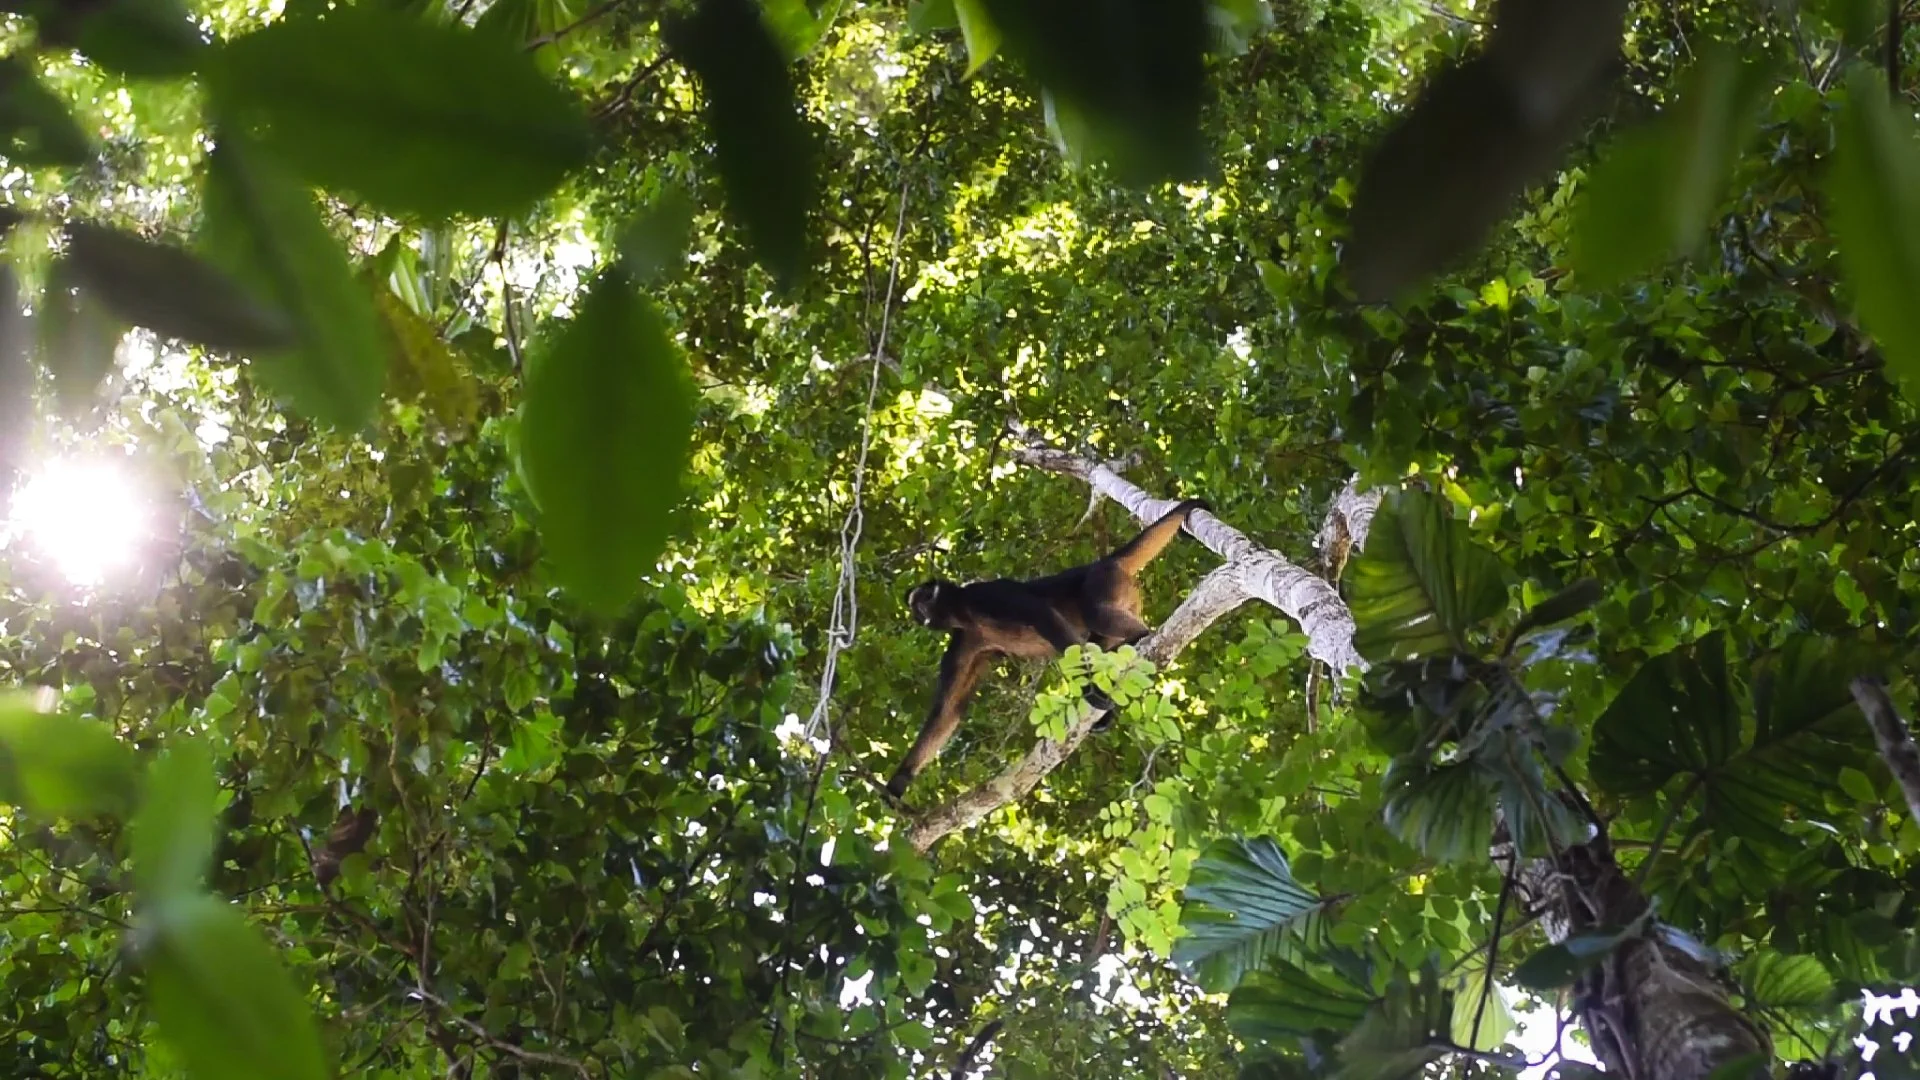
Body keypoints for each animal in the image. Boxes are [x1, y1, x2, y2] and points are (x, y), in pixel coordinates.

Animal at [886, 498, 1210, 798]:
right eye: (916, 610)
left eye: (923, 600)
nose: (921, 615)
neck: (967, 616)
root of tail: (1102, 563)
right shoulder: (965, 641)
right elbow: (949, 709)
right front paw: (900, 780)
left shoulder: (987, 594)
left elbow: (1041, 615)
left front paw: (1091, 691)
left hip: (1104, 580)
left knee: (1095, 613)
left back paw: (1143, 636)